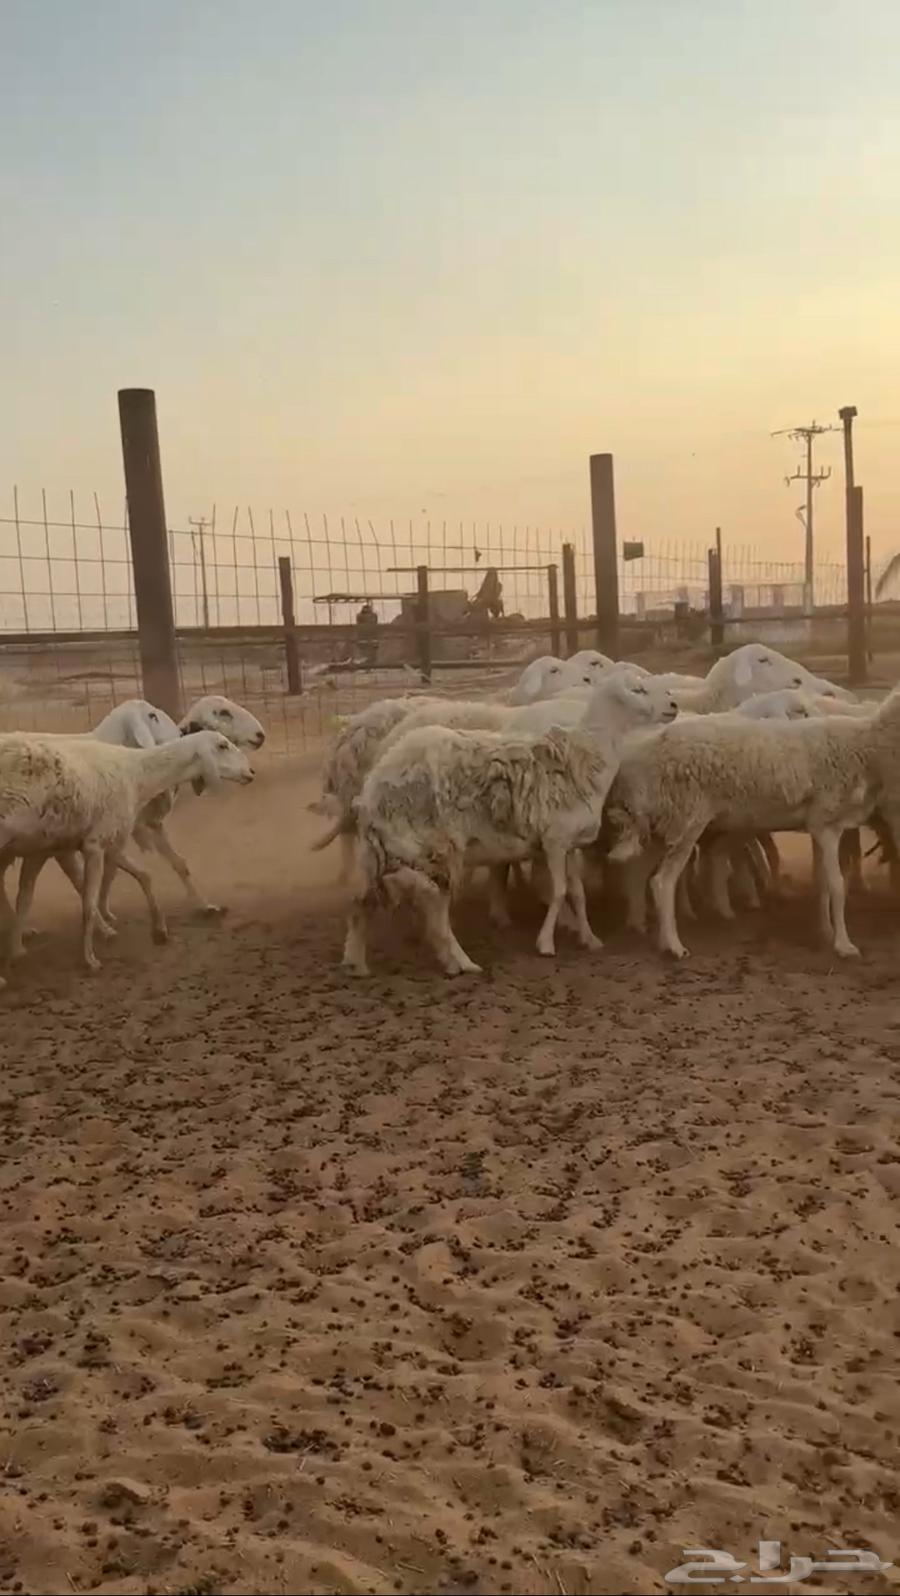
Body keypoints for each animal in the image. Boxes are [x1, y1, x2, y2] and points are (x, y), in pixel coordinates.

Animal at [0, 731, 254, 983]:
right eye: (222, 745)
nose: (250, 772)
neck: (136, 774)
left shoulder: (71, 846)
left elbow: (144, 875)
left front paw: (159, 930)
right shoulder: (95, 844)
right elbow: (88, 904)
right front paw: (90, 959)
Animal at [342, 670, 678, 977]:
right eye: (638, 689)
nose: (674, 705)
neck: (588, 757)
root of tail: (375, 783)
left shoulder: (570, 845)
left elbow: (577, 894)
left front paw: (590, 939)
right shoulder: (554, 841)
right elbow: (558, 892)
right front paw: (545, 944)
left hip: (387, 853)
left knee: (364, 901)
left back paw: (357, 963)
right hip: (433, 849)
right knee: (434, 912)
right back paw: (461, 962)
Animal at [605, 686, 900, 961]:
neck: (865, 746)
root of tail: (637, 760)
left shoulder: (818, 825)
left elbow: (824, 883)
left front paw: (825, 931)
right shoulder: (827, 823)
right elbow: (837, 886)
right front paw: (844, 945)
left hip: (663, 821)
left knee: (639, 872)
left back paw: (642, 926)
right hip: (687, 819)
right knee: (662, 882)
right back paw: (674, 946)